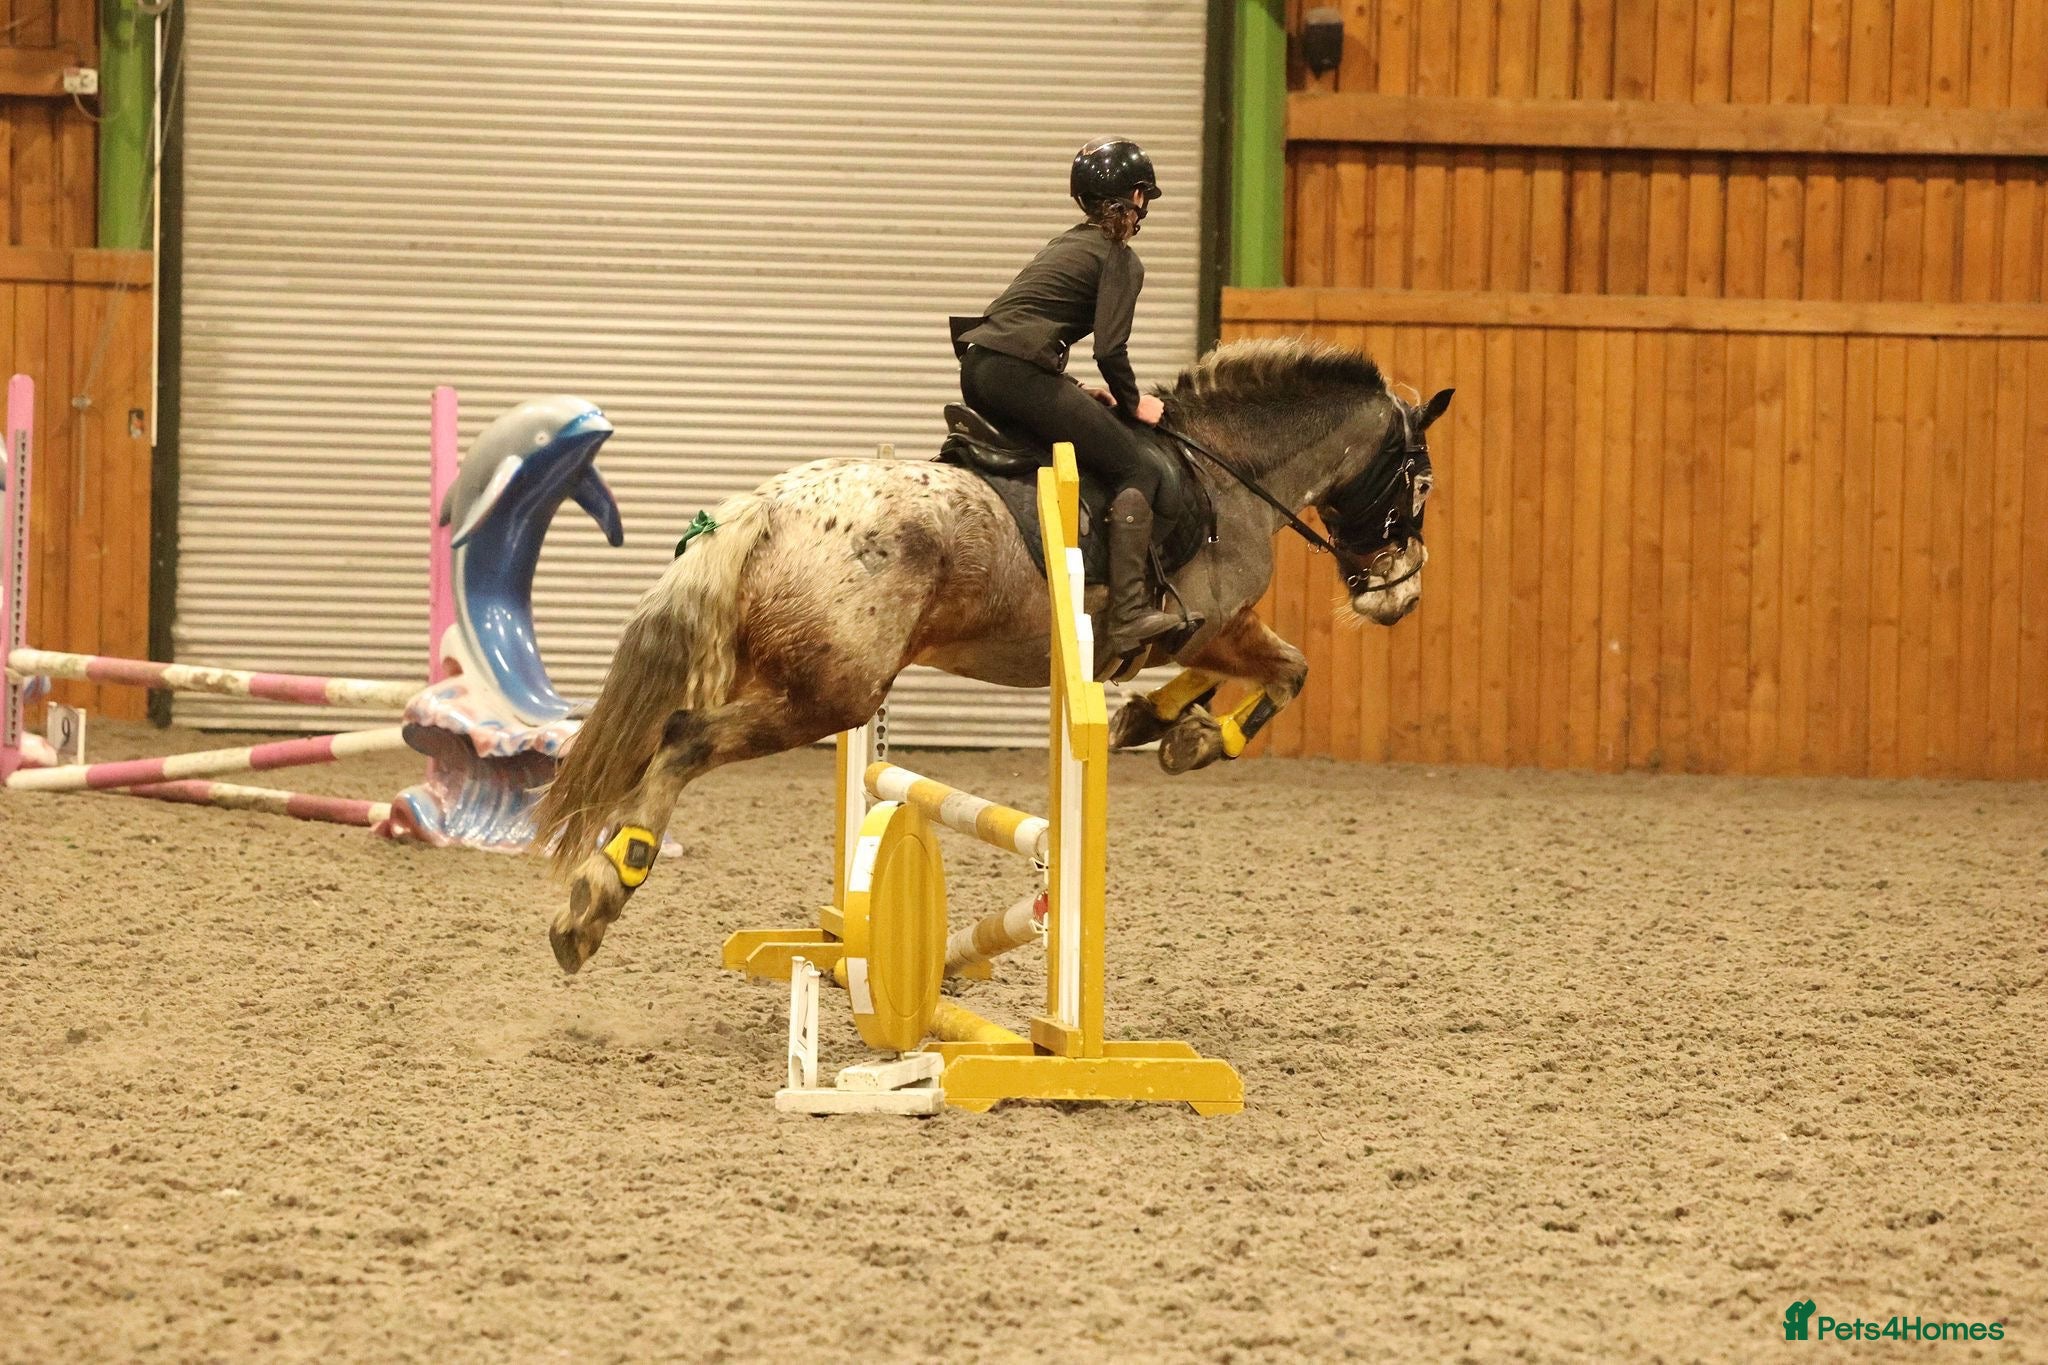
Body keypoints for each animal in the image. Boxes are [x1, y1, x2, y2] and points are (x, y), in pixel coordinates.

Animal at [536, 337, 1453, 973]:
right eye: (1420, 482)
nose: (1400, 596)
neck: (1225, 471)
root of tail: (762, 509)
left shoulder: (1210, 629)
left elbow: (1266, 669)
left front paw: (1156, 722)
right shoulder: (1208, 621)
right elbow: (1289, 669)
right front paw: (1190, 739)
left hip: (784, 675)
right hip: (833, 695)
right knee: (682, 738)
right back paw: (597, 898)